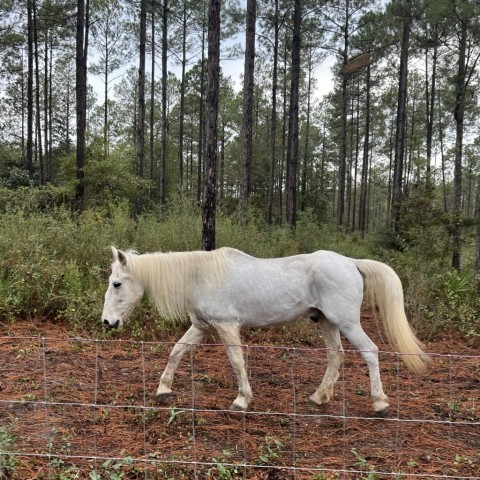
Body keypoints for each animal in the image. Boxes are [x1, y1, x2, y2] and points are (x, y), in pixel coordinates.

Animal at [101, 246, 428, 414]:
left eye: (116, 283)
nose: (107, 322)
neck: (200, 276)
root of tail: (350, 262)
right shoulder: (201, 327)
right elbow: (176, 352)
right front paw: (163, 389)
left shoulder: (226, 327)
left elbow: (237, 362)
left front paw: (241, 399)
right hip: (326, 322)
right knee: (336, 357)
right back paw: (318, 397)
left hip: (347, 322)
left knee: (370, 352)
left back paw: (380, 403)